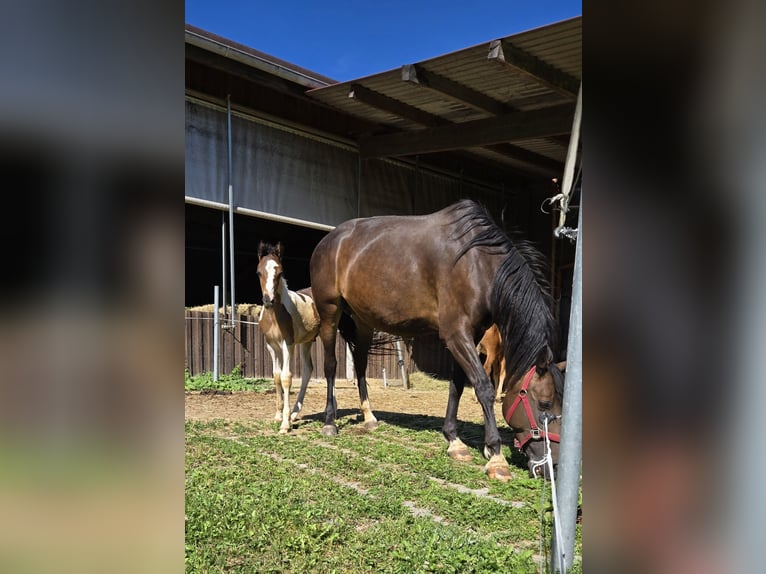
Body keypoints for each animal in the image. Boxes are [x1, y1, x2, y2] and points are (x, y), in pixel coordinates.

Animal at [256, 241, 320, 434]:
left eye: (280, 272)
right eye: (259, 272)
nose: (268, 300)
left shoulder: (288, 344)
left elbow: (286, 377)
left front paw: (284, 425)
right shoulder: (271, 345)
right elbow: (276, 376)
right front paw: (279, 416)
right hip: (307, 342)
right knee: (308, 369)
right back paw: (294, 414)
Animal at [308, 201, 560, 482]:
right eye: (545, 404)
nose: (551, 468)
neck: (478, 264)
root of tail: (329, 240)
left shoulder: (469, 336)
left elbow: (457, 386)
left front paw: (455, 441)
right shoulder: (456, 334)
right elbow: (483, 386)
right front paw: (495, 455)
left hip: (363, 322)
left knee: (361, 366)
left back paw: (369, 417)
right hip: (329, 313)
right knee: (331, 365)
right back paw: (330, 422)